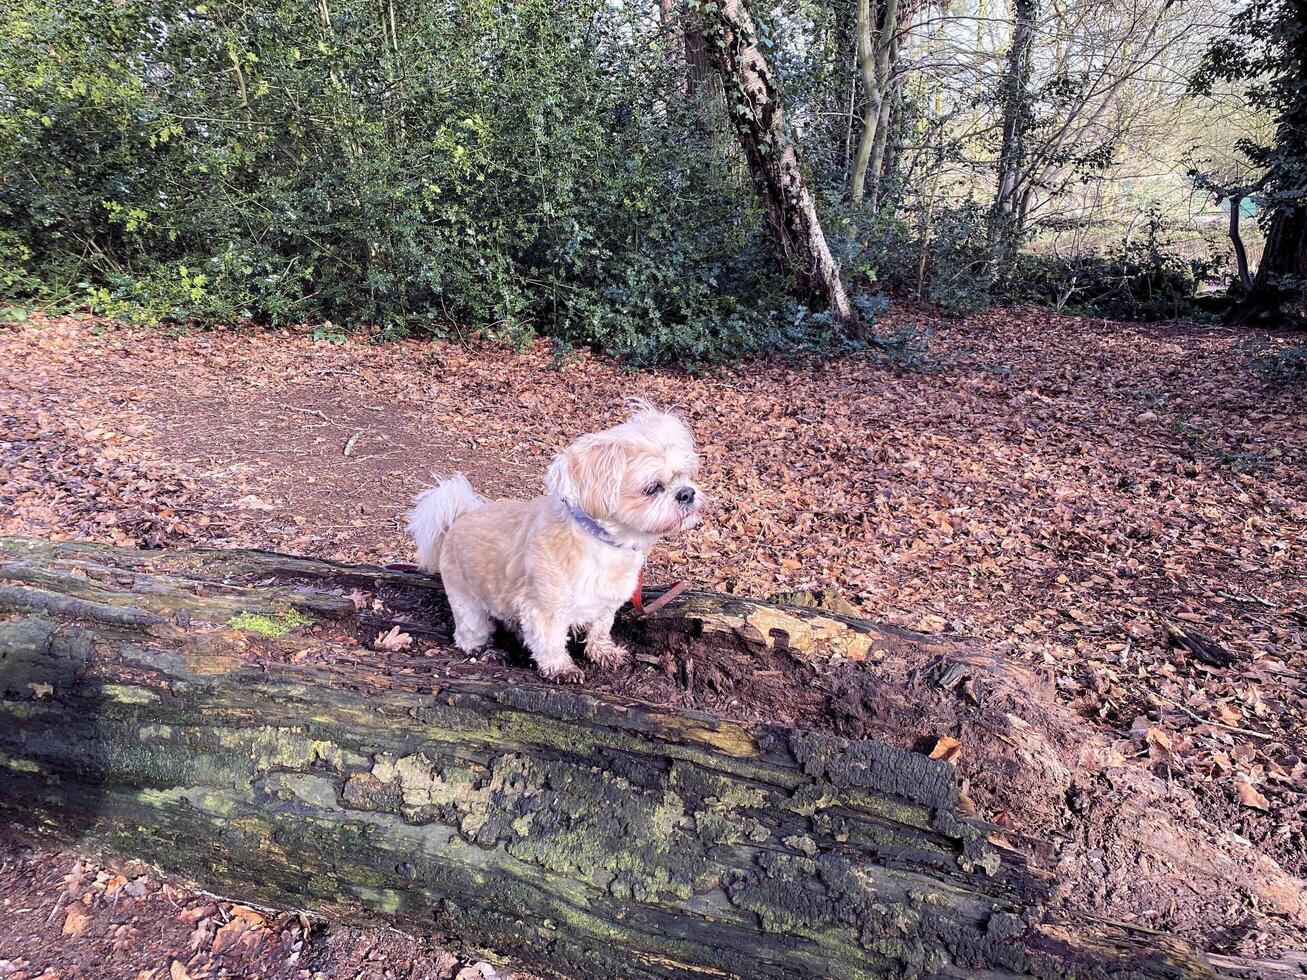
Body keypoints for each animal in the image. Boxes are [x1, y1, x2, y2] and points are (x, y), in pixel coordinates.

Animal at [413, 399, 711, 684]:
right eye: (652, 488)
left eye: (684, 475)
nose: (687, 493)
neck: (603, 544)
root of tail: (458, 517)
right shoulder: (544, 610)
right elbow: (551, 642)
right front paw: (561, 668)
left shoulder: (606, 603)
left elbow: (600, 628)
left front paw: (603, 651)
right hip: (467, 602)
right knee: (468, 635)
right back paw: (486, 651)